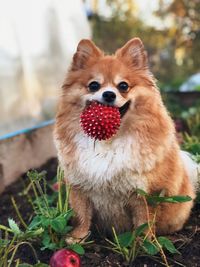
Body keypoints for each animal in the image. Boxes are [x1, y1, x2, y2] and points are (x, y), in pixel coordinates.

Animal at [53, 37, 198, 243]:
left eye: (123, 86)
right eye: (93, 85)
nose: (109, 94)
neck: (108, 140)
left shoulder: (143, 194)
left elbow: (143, 221)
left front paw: (142, 243)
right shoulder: (80, 186)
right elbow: (81, 215)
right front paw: (77, 238)